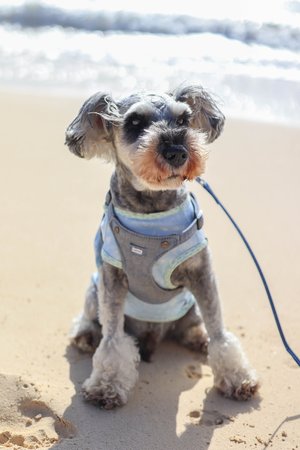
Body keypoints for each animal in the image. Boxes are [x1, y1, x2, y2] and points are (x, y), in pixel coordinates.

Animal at [65, 85, 258, 412]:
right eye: (135, 123)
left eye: (184, 120)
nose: (177, 152)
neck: (152, 212)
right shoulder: (111, 280)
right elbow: (112, 338)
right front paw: (106, 386)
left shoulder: (202, 273)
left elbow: (219, 332)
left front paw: (237, 378)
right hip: (93, 289)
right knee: (91, 319)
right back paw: (86, 335)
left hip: (188, 306)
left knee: (192, 326)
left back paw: (197, 337)